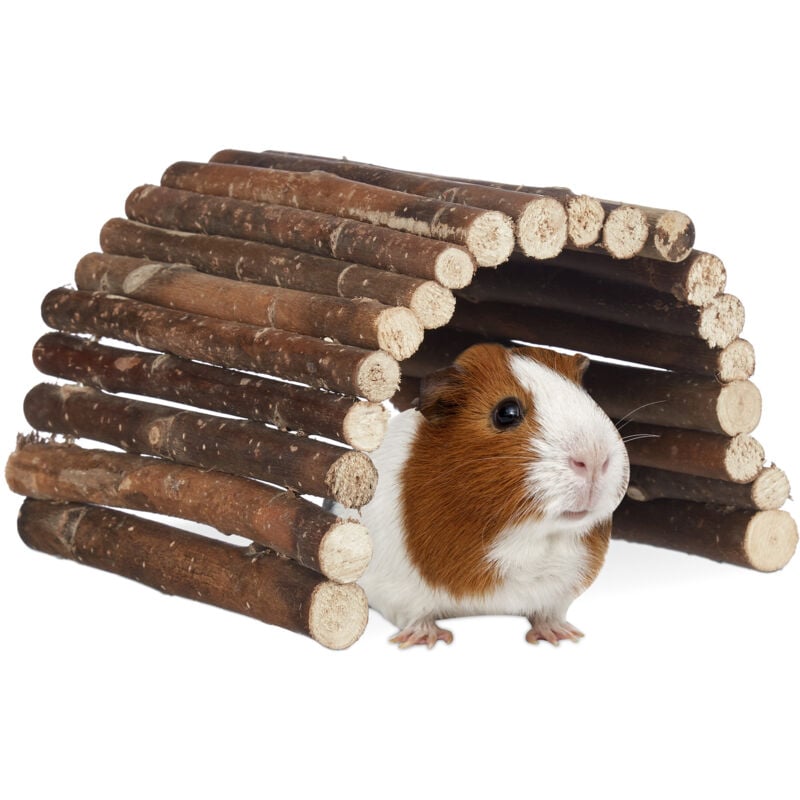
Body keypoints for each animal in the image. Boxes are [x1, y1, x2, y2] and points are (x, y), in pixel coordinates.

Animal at [343, 343, 630, 648]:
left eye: (587, 397)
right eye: (506, 413)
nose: (594, 459)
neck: (526, 538)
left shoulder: (560, 591)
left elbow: (548, 613)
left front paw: (561, 636)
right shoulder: (398, 591)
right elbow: (416, 615)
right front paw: (428, 639)